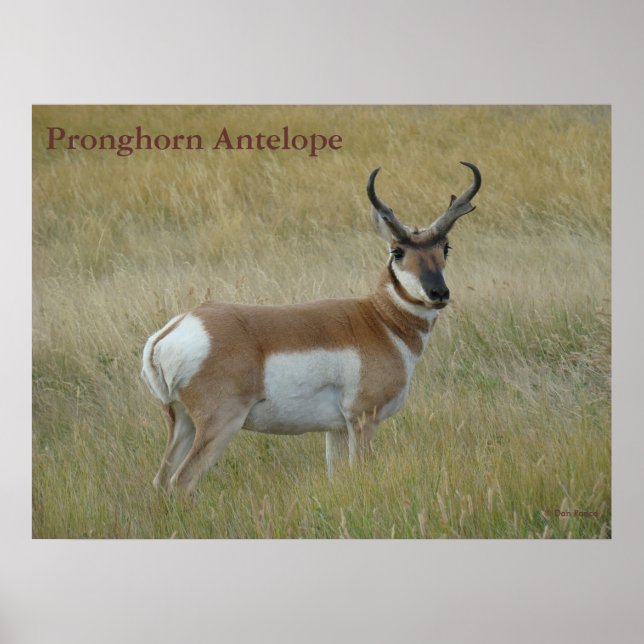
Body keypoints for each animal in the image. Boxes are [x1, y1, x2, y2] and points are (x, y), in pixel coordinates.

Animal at [142, 162, 481, 494]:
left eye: (445, 248)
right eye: (397, 251)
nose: (438, 293)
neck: (379, 322)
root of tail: (174, 331)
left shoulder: (336, 428)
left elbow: (337, 476)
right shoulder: (363, 419)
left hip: (182, 422)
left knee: (161, 480)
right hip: (221, 424)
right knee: (181, 481)